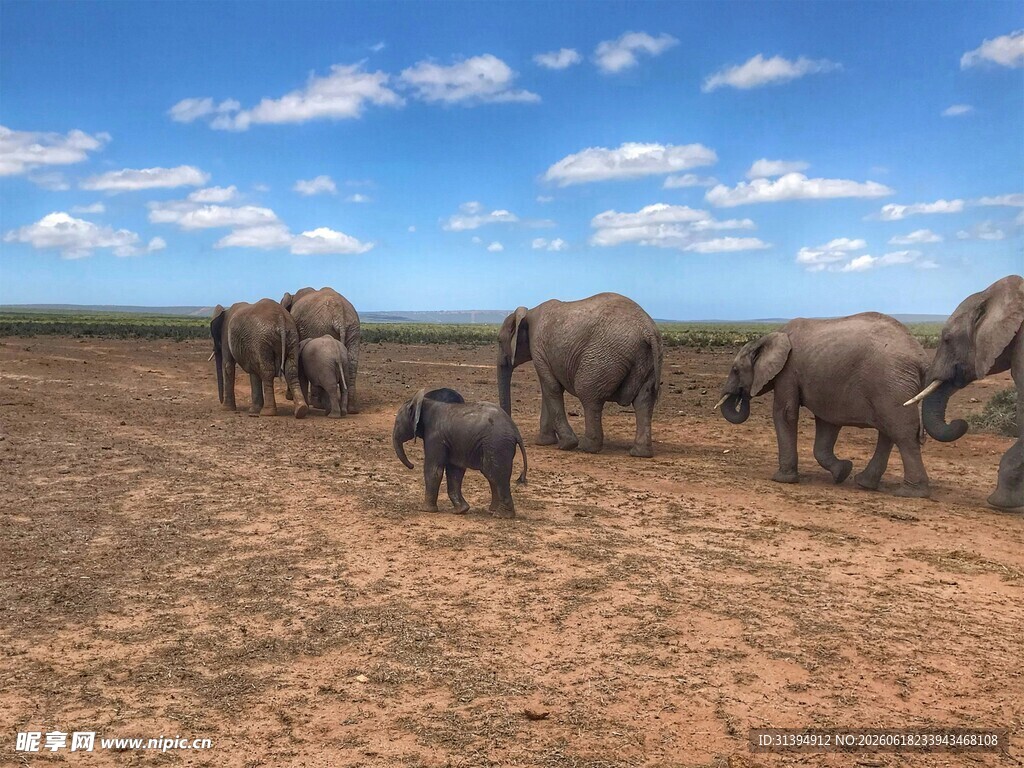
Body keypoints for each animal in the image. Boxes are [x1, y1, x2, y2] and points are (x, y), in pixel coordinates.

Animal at [393, 388, 528, 518]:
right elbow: (455, 471)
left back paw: (501, 515)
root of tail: (515, 431)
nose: (412, 466)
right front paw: (461, 510)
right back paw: (493, 511)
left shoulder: (435, 437)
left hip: (496, 444)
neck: (424, 403)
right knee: (491, 475)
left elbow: (434, 470)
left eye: (397, 423)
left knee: (496, 474)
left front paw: (425, 510)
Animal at [497, 292, 663, 458]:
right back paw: (640, 453)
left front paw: (566, 444)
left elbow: (551, 388)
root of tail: (647, 330)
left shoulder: (538, 348)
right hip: (649, 359)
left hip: (604, 357)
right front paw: (545, 442)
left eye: (498, 341)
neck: (529, 312)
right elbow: (548, 390)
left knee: (589, 395)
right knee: (644, 400)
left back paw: (587, 447)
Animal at [716, 312, 929, 496]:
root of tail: (921, 357)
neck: (769, 337)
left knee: (902, 433)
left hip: (891, 384)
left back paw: (910, 492)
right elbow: (827, 424)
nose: (741, 395)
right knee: (889, 432)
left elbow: (785, 413)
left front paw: (782, 479)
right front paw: (842, 472)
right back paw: (864, 483)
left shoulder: (788, 371)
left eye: (735, 370)